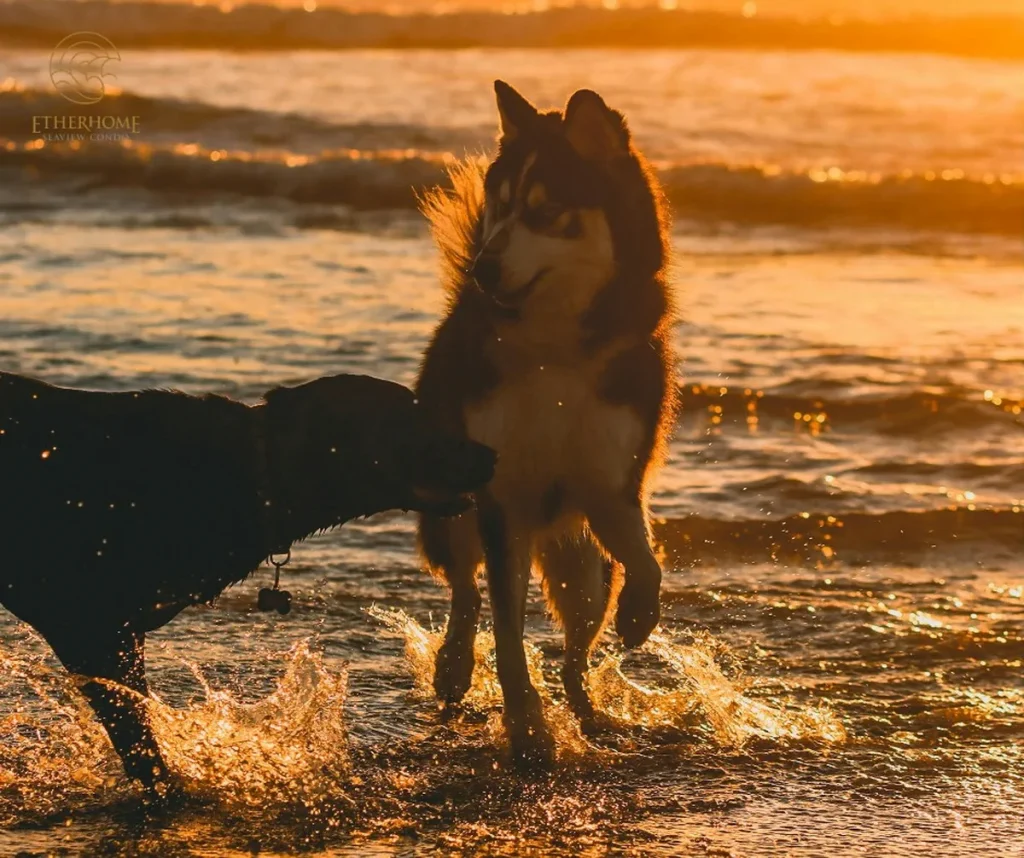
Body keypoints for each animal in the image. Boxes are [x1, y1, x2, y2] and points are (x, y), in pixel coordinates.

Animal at [415, 80, 679, 765]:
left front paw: (640, 615)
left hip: (580, 568)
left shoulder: (613, 485)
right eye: (501, 207)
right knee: (466, 591)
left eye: (545, 211)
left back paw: (591, 713)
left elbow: (646, 562)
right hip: (451, 505)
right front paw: (529, 730)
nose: (481, 268)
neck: (555, 350)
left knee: (576, 652)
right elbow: (507, 634)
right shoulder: (500, 499)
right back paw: (454, 665)